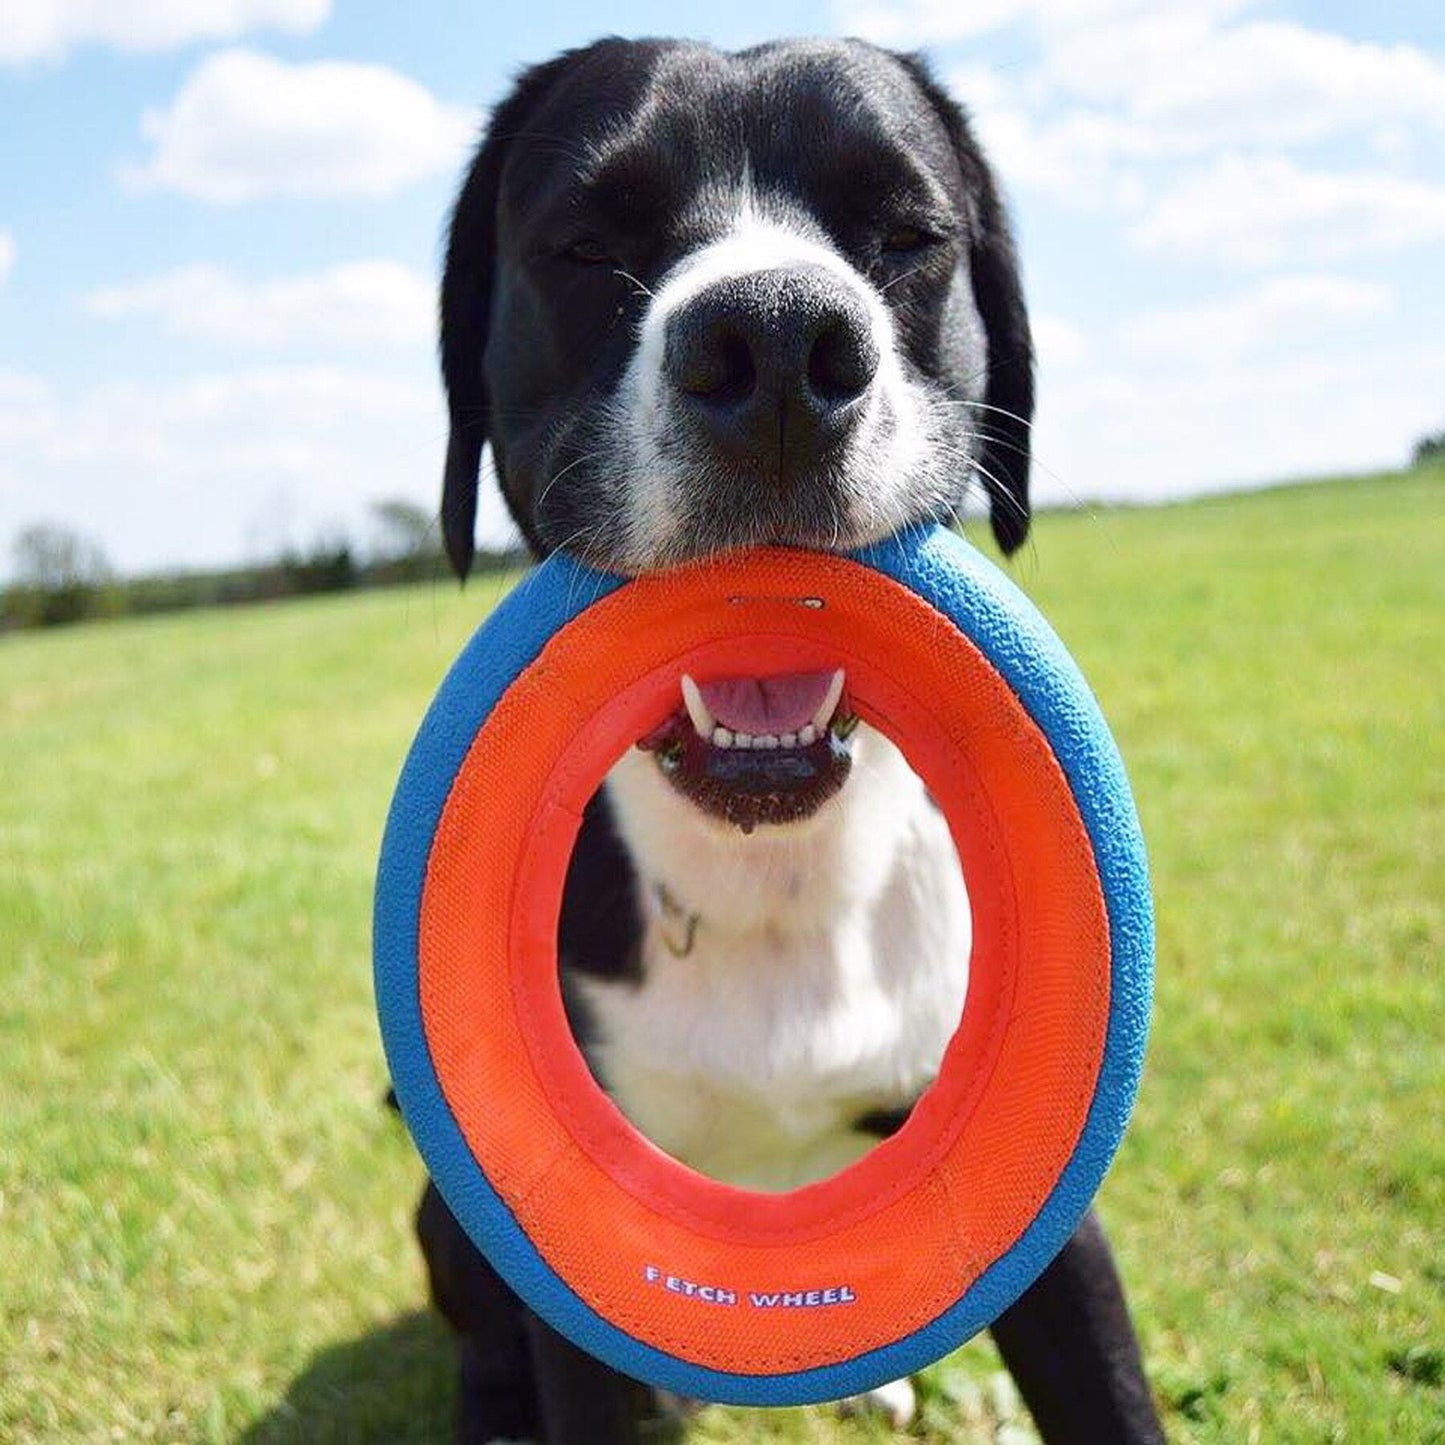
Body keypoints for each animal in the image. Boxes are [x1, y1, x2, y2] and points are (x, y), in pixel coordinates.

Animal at [413, 33, 1167, 1445]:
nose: (770, 340)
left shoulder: (1059, 1240)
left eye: (908, 234)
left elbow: (1105, 1386)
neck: (768, 881)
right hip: (451, 1215)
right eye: (584, 244)